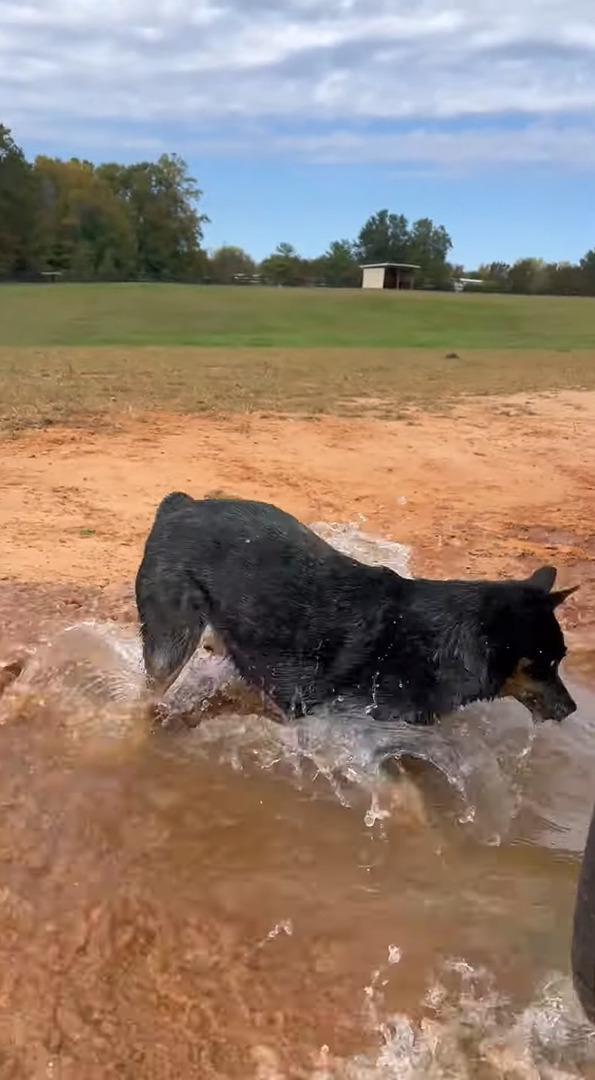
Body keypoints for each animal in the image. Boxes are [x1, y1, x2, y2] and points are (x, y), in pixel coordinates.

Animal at [134, 494, 578, 725]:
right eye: (540, 665)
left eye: (561, 660)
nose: (573, 709)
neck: (444, 641)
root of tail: (179, 506)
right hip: (171, 648)